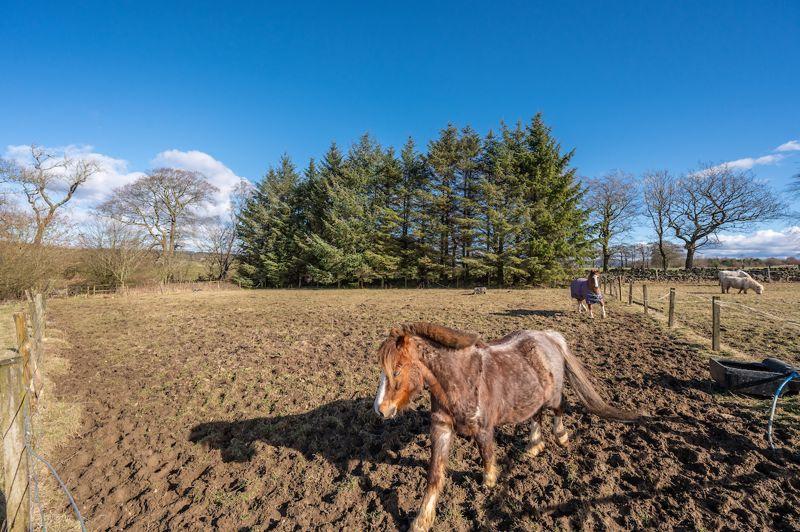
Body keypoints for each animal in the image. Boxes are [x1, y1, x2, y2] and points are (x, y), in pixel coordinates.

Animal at [372, 323, 640, 532]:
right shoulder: (441, 429)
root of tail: (549, 337)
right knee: (536, 415)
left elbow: (487, 456)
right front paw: (421, 521)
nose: (380, 409)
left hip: (553, 396)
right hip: (533, 395)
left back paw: (561, 437)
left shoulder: (483, 429)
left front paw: (489, 485)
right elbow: (435, 475)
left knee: (558, 408)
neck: (460, 380)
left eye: (397, 369)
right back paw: (534, 446)